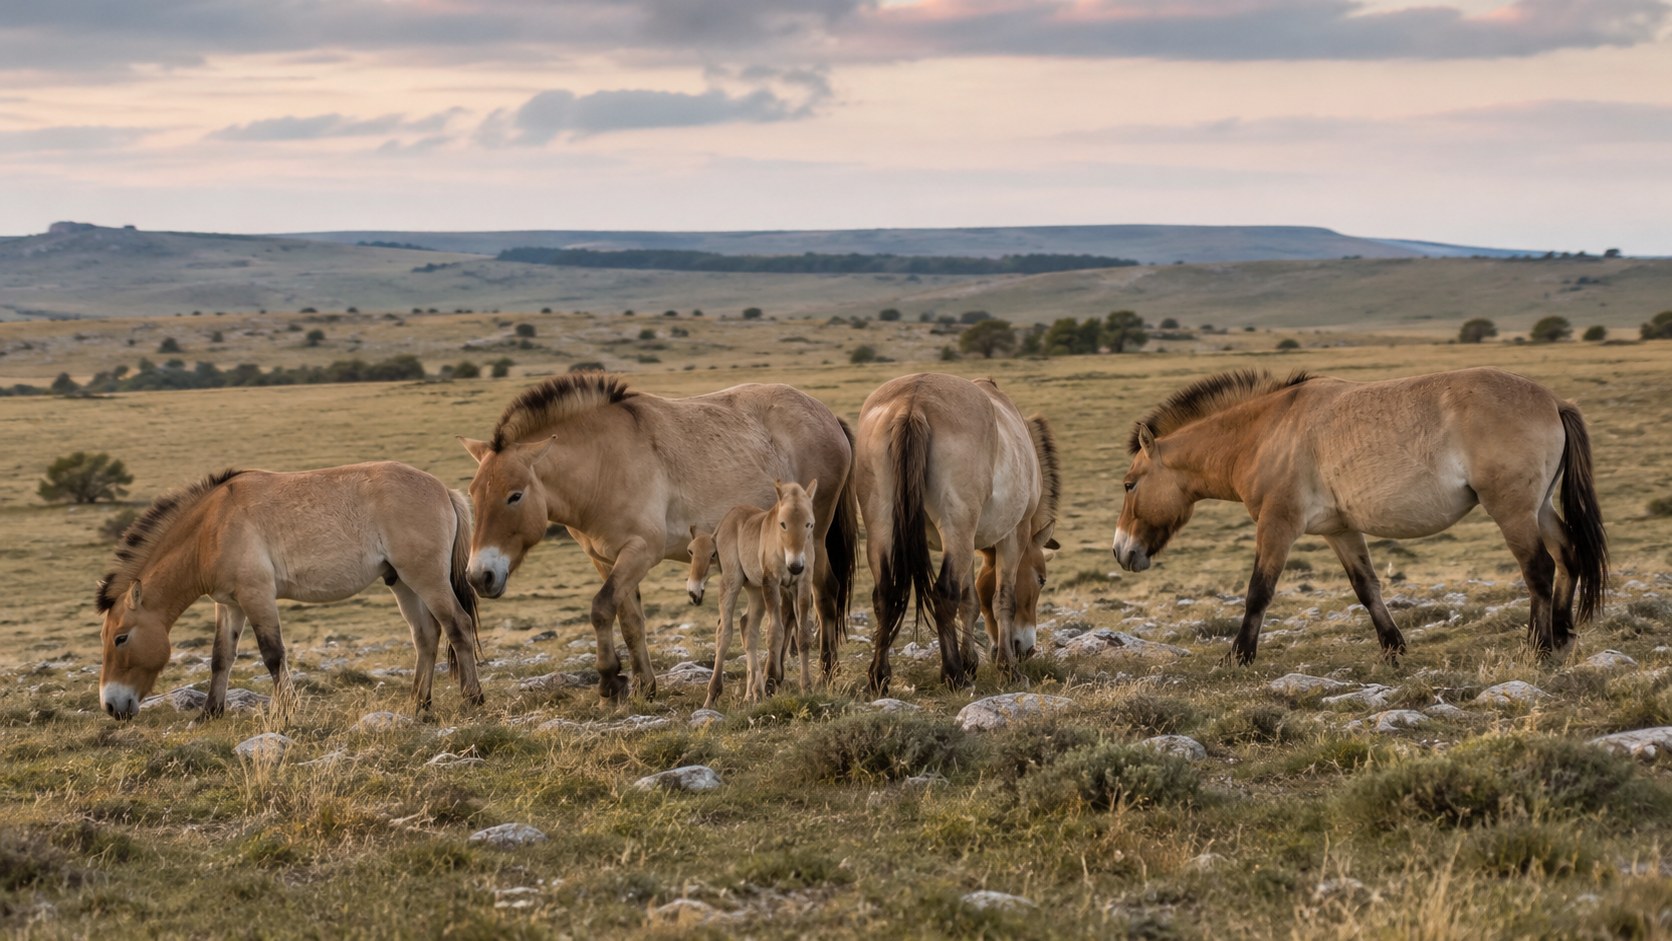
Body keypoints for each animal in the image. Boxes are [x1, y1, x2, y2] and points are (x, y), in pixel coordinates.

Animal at [96, 462, 483, 721]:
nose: (111, 705)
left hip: (427, 579)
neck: (212, 527)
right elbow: (221, 657)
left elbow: (272, 654)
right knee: (426, 636)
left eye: (120, 638)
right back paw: (419, 703)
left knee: (458, 626)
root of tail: (444, 491)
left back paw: (472, 698)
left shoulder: (257, 596)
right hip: (402, 582)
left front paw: (285, 712)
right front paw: (209, 713)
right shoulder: (230, 605)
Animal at [690, 481, 819, 708]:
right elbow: (775, 632)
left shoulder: (802, 583)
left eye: (809, 524)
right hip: (732, 580)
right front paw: (771, 682)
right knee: (724, 630)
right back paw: (713, 695)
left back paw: (753, 692)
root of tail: (724, 521)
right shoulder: (772, 582)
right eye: (783, 524)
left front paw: (807, 687)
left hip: (755, 590)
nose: (795, 566)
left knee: (747, 626)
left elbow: (803, 634)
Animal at [855, 373, 1061, 693]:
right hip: (956, 528)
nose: (1025, 649)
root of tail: (911, 404)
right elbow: (1003, 600)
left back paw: (879, 677)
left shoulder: (970, 542)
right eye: (1041, 579)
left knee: (885, 595)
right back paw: (953, 674)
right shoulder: (1013, 535)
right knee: (943, 594)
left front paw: (971, 662)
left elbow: (970, 601)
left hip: (882, 527)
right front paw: (1007, 669)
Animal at [1111, 367, 1608, 665]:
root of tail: (1553, 401)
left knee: (1539, 568)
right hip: (1539, 507)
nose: (1121, 551)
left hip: (1512, 510)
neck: (1267, 432)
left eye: (1129, 484)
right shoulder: (1341, 531)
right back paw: (1563, 633)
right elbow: (1366, 587)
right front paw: (1393, 648)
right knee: (1568, 556)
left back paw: (1539, 646)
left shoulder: (1278, 525)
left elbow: (1259, 592)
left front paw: (1239, 655)